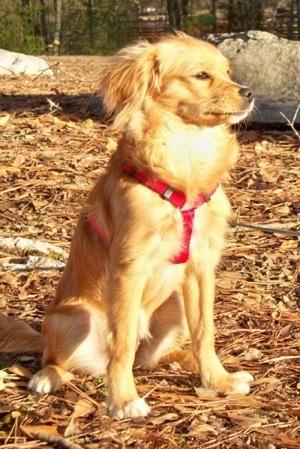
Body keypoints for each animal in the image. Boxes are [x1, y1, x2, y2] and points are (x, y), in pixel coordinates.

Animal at [0, 33, 254, 418]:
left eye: (228, 72)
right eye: (201, 75)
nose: (249, 92)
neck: (187, 153)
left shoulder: (201, 268)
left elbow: (205, 333)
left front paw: (218, 379)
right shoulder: (129, 267)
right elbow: (120, 344)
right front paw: (122, 399)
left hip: (175, 307)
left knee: (154, 356)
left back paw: (182, 360)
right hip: (73, 317)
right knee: (59, 358)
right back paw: (48, 377)